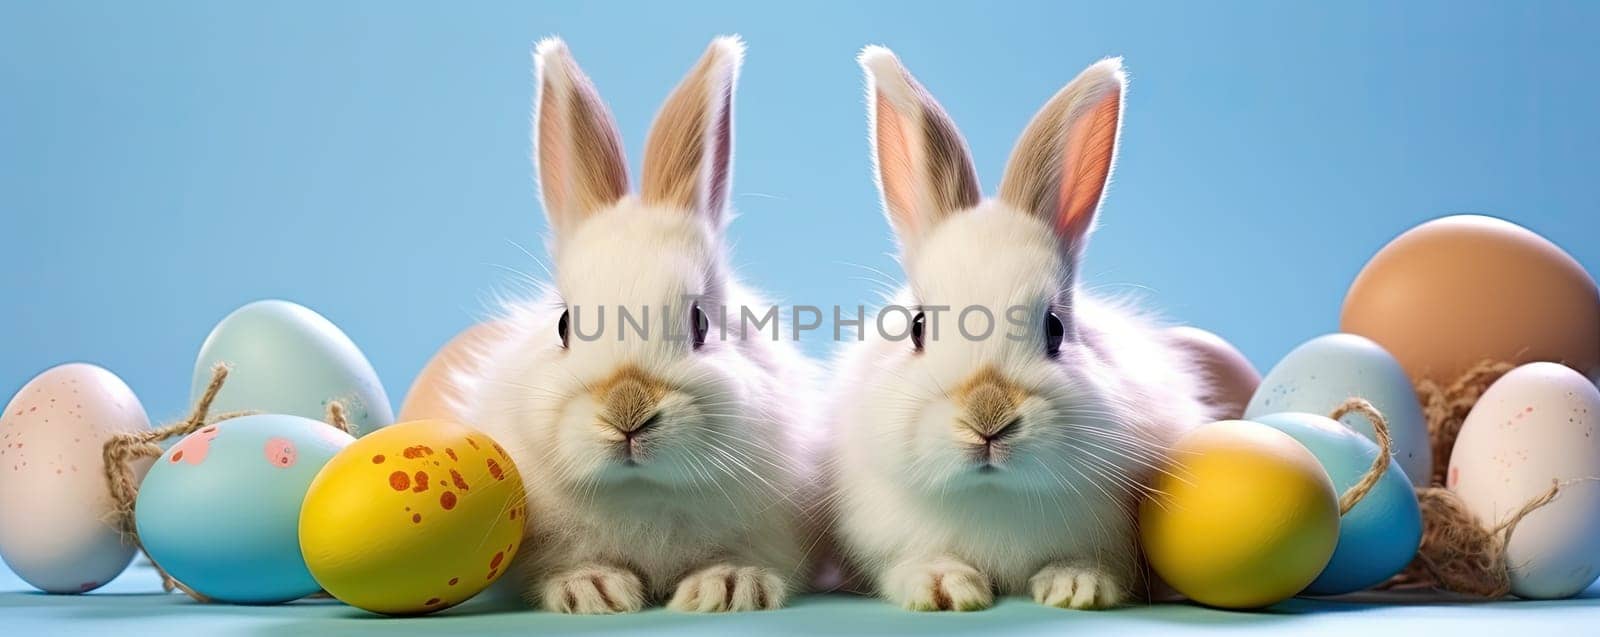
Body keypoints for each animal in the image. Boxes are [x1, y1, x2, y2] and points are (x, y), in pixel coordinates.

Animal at [460, 37, 812, 614]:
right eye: (563, 324)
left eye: (700, 322)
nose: (628, 410)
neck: (642, 491)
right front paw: (593, 590)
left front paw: (728, 586)